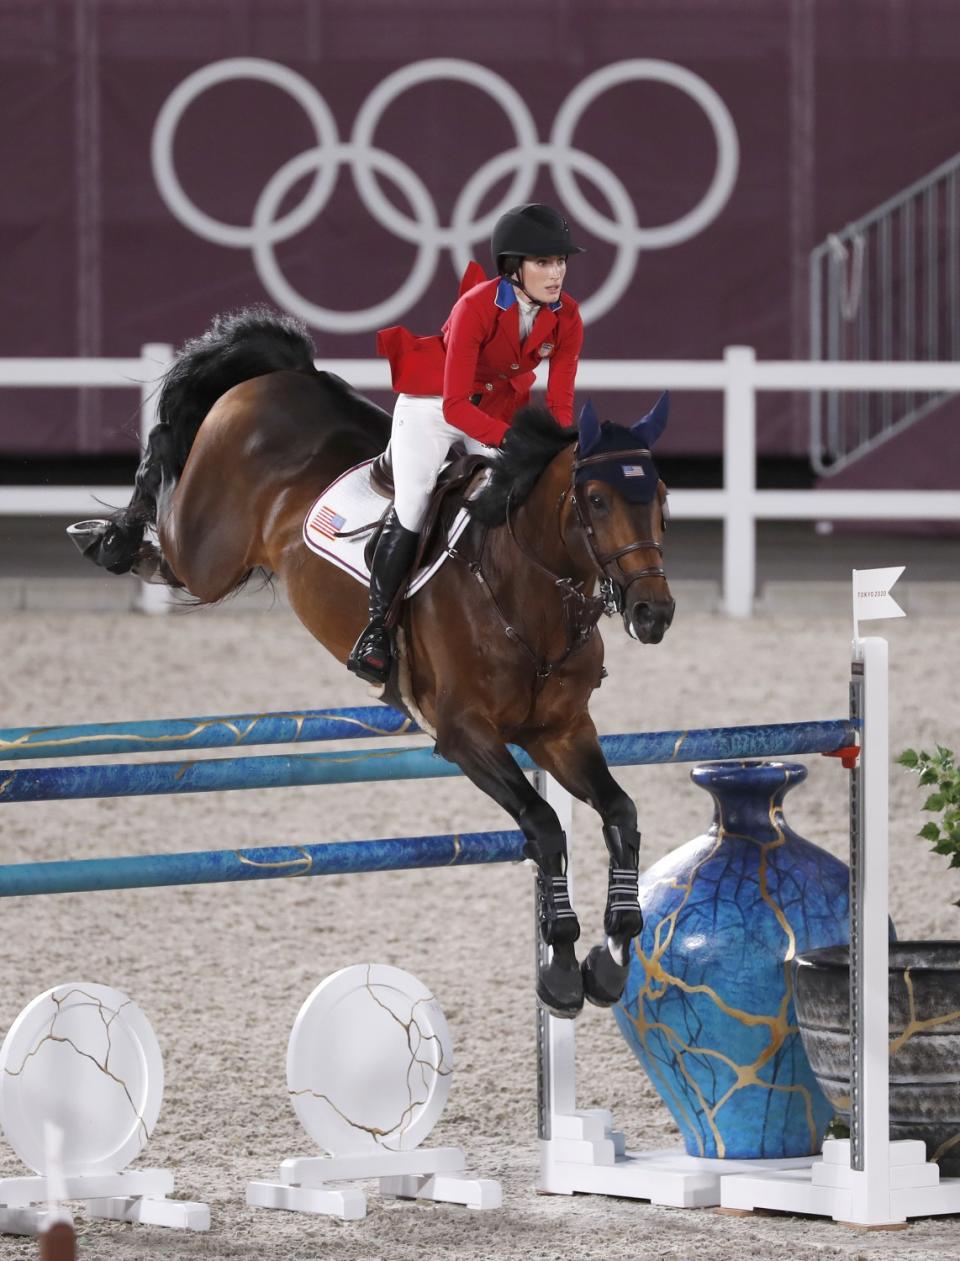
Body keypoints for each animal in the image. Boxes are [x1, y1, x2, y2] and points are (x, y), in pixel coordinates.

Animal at [73, 310, 676, 1018]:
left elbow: (621, 815)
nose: (654, 613)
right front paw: (558, 970)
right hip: (206, 551)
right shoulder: (464, 736)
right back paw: (108, 539)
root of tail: (288, 375)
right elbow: (545, 826)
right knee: (164, 489)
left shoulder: (561, 733)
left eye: (661, 497)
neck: (523, 589)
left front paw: (610, 958)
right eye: (599, 501)